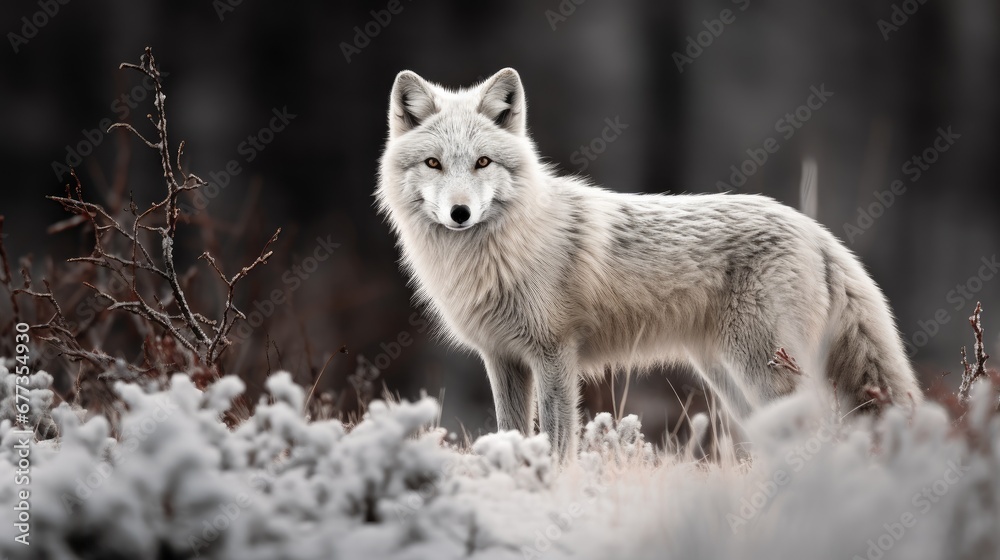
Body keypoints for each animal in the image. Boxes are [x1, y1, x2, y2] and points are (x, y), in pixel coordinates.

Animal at [376, 68, 920, 460]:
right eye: (434, 164)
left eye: (483, 163)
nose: (460, 213)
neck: (495, 257)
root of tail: (817, 231)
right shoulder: (503, 359)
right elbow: (511, 432)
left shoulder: (554, 356)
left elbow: (557, 444)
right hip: (731, 380)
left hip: (764, 371)